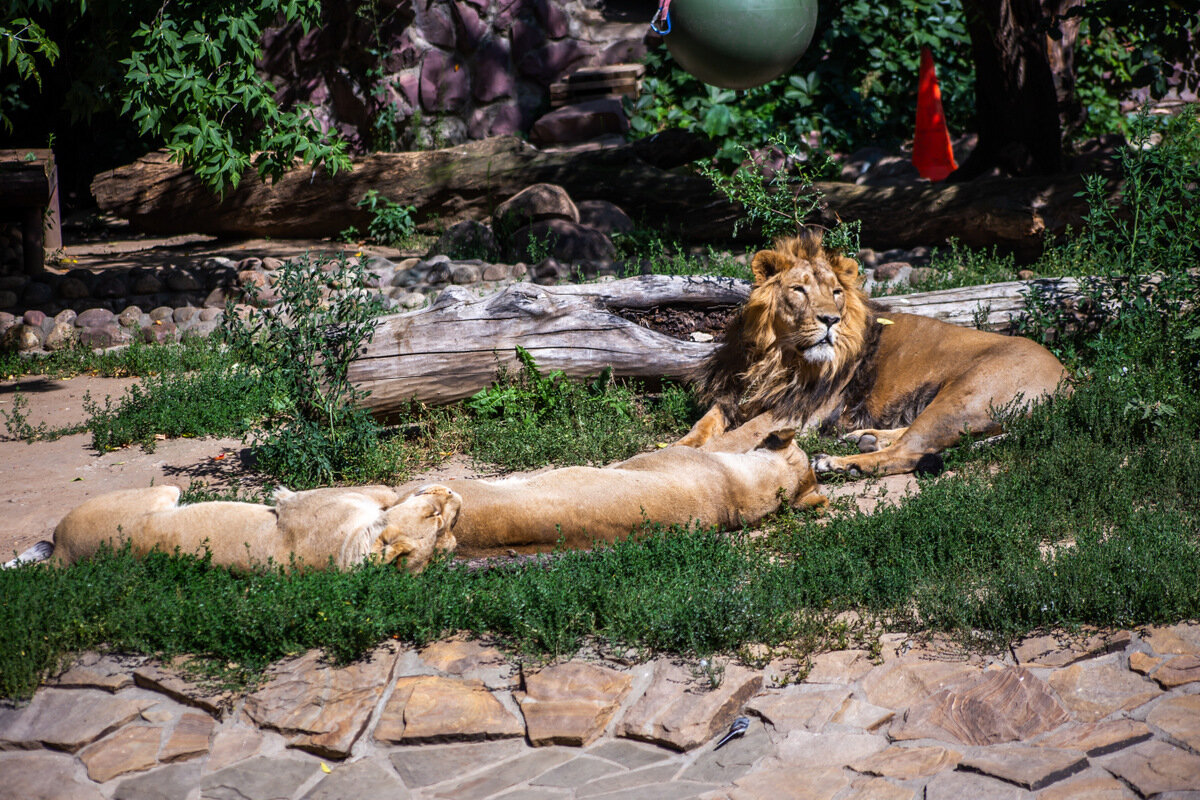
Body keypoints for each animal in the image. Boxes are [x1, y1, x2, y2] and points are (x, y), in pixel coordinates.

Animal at [681, 231, 1075, 479]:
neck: (777, 356)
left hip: (965, 396)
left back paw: (839, 463)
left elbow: (734, 439)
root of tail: (1071, 384)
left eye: (836, 292)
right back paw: (862, 438)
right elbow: (702, 427)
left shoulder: (795, 412)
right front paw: (679, 445)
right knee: (906, 437)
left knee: (908, 452)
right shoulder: (734, 396)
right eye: (798, 290)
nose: (830, 319)